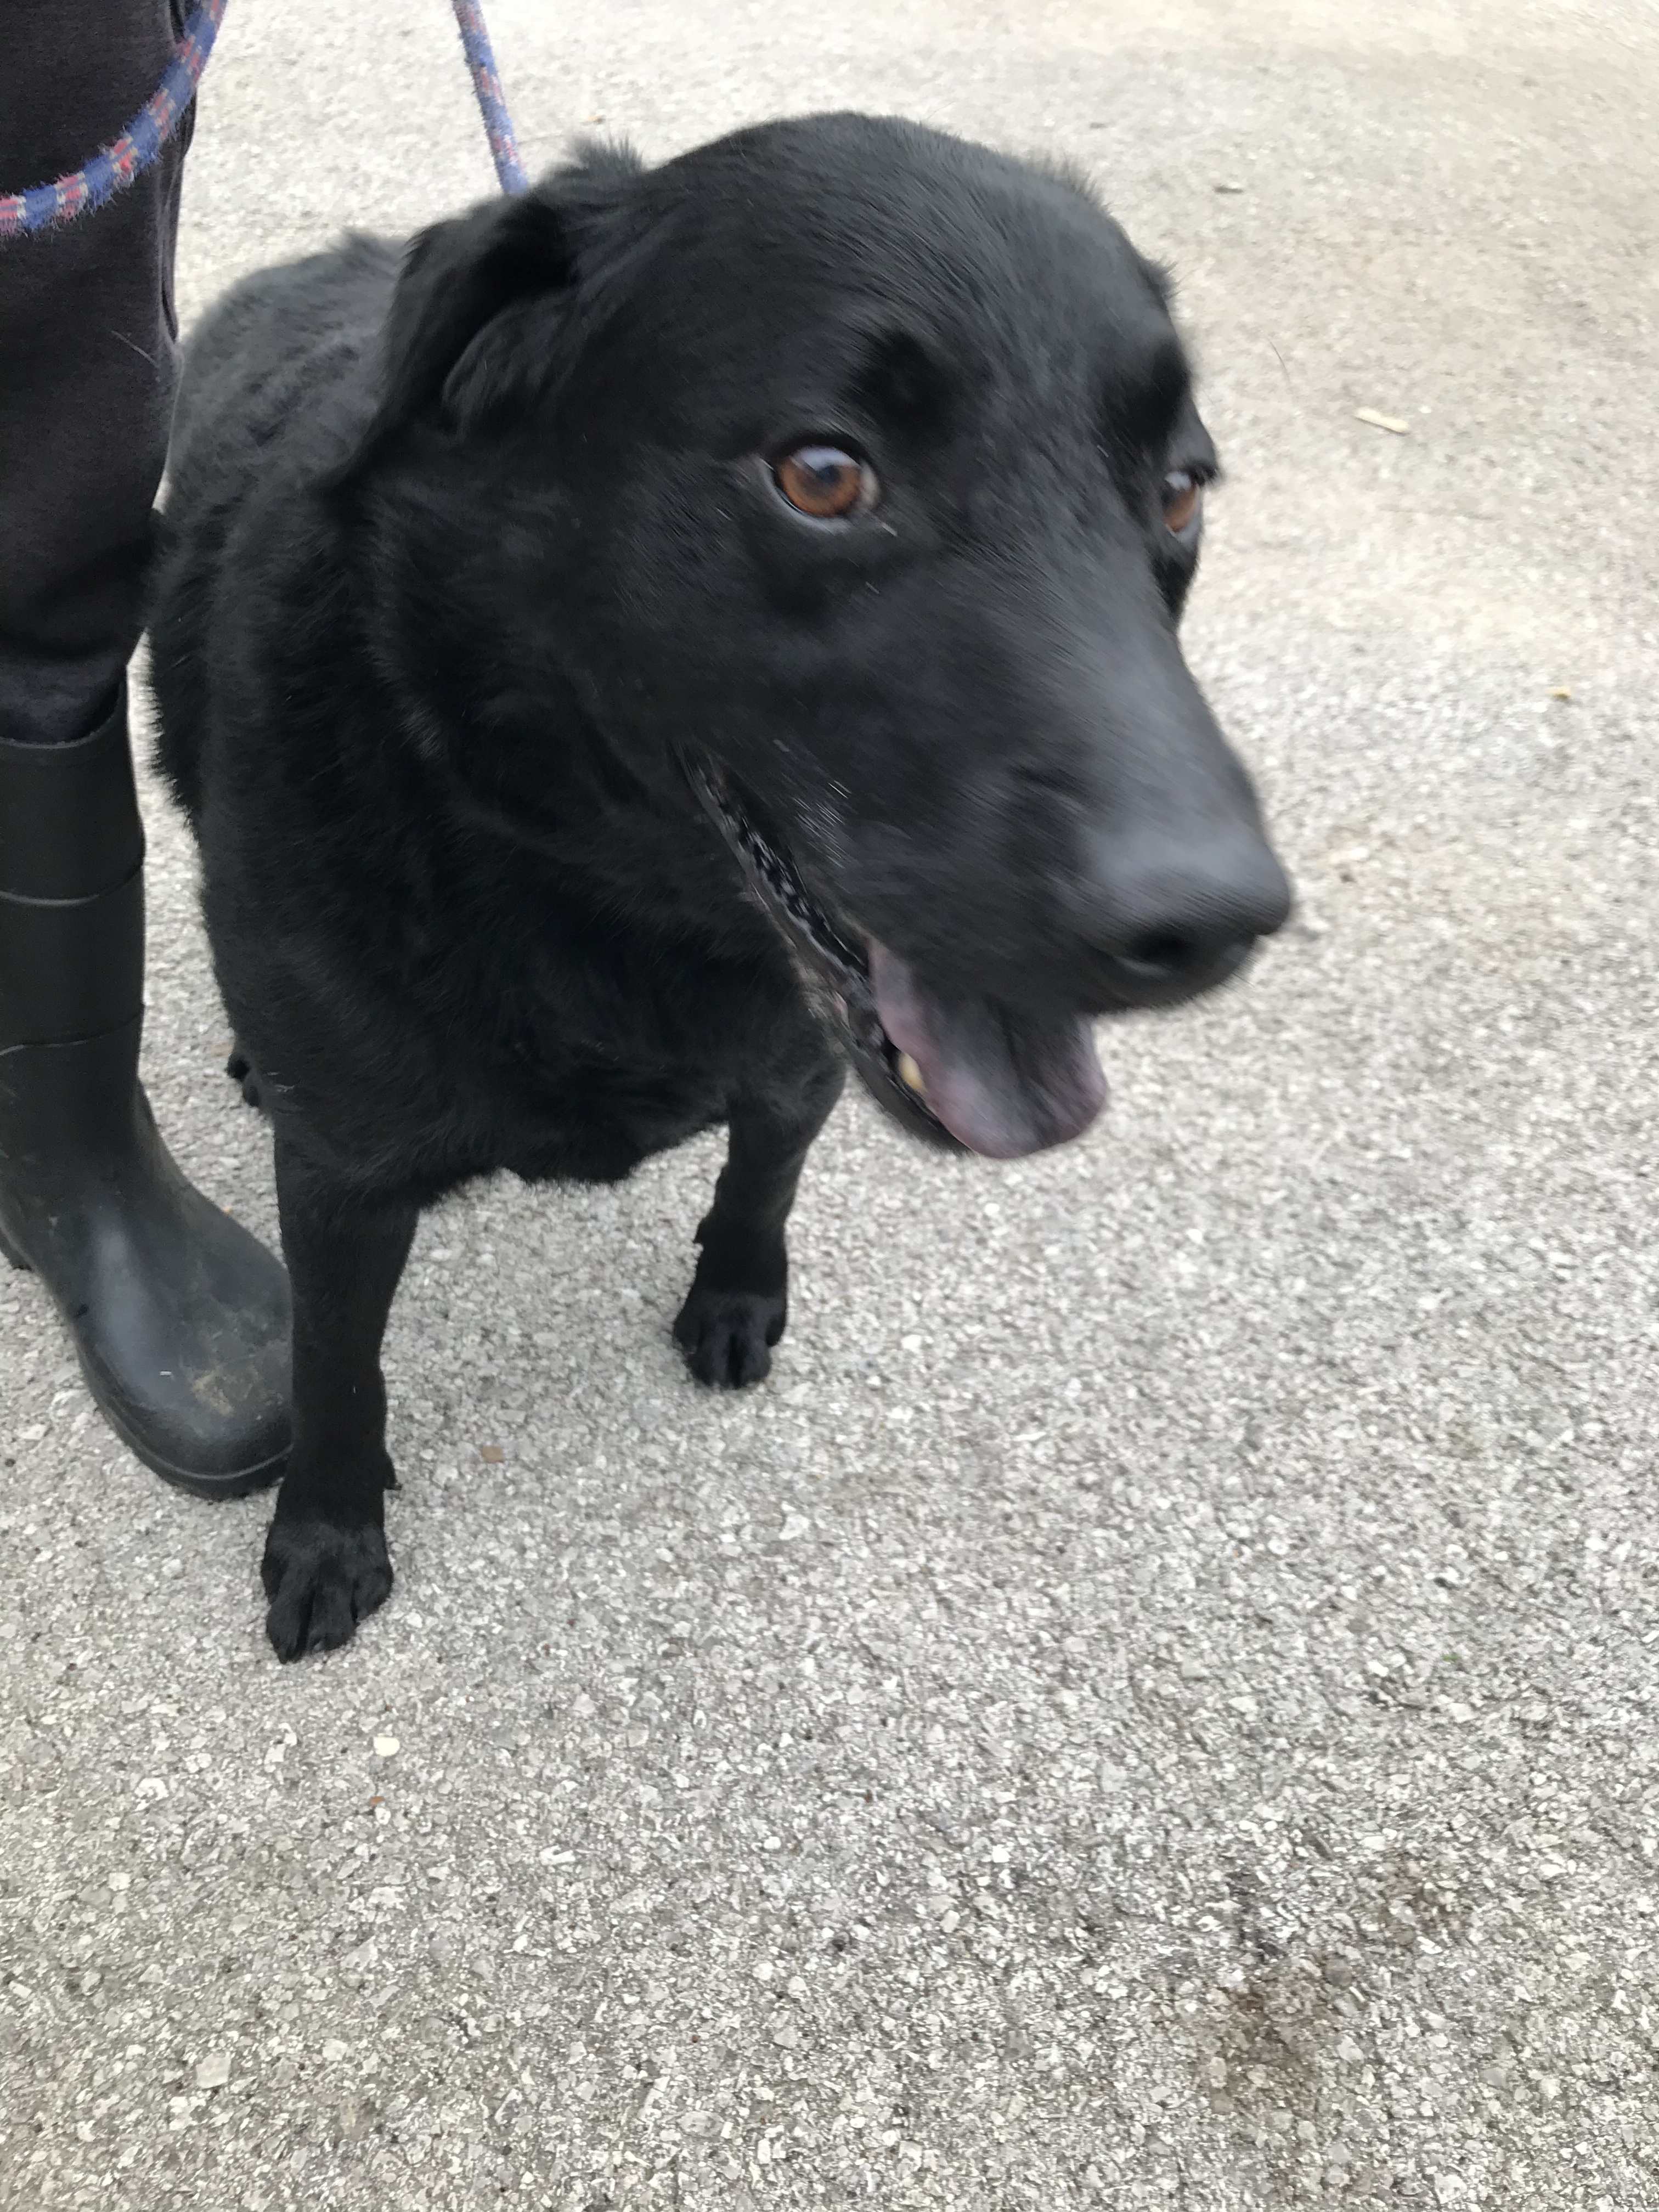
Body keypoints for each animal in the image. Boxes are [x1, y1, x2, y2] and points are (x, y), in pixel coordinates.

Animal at [149, 112, 1291, 1654]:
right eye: (822, 475)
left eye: (1177, 490)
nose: (1219, 919)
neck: (590, 896)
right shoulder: (343, 1180)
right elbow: (337, 1367)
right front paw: (327, 1533)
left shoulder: (794, 1060)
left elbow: (764, 1180)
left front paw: (739, 1296)